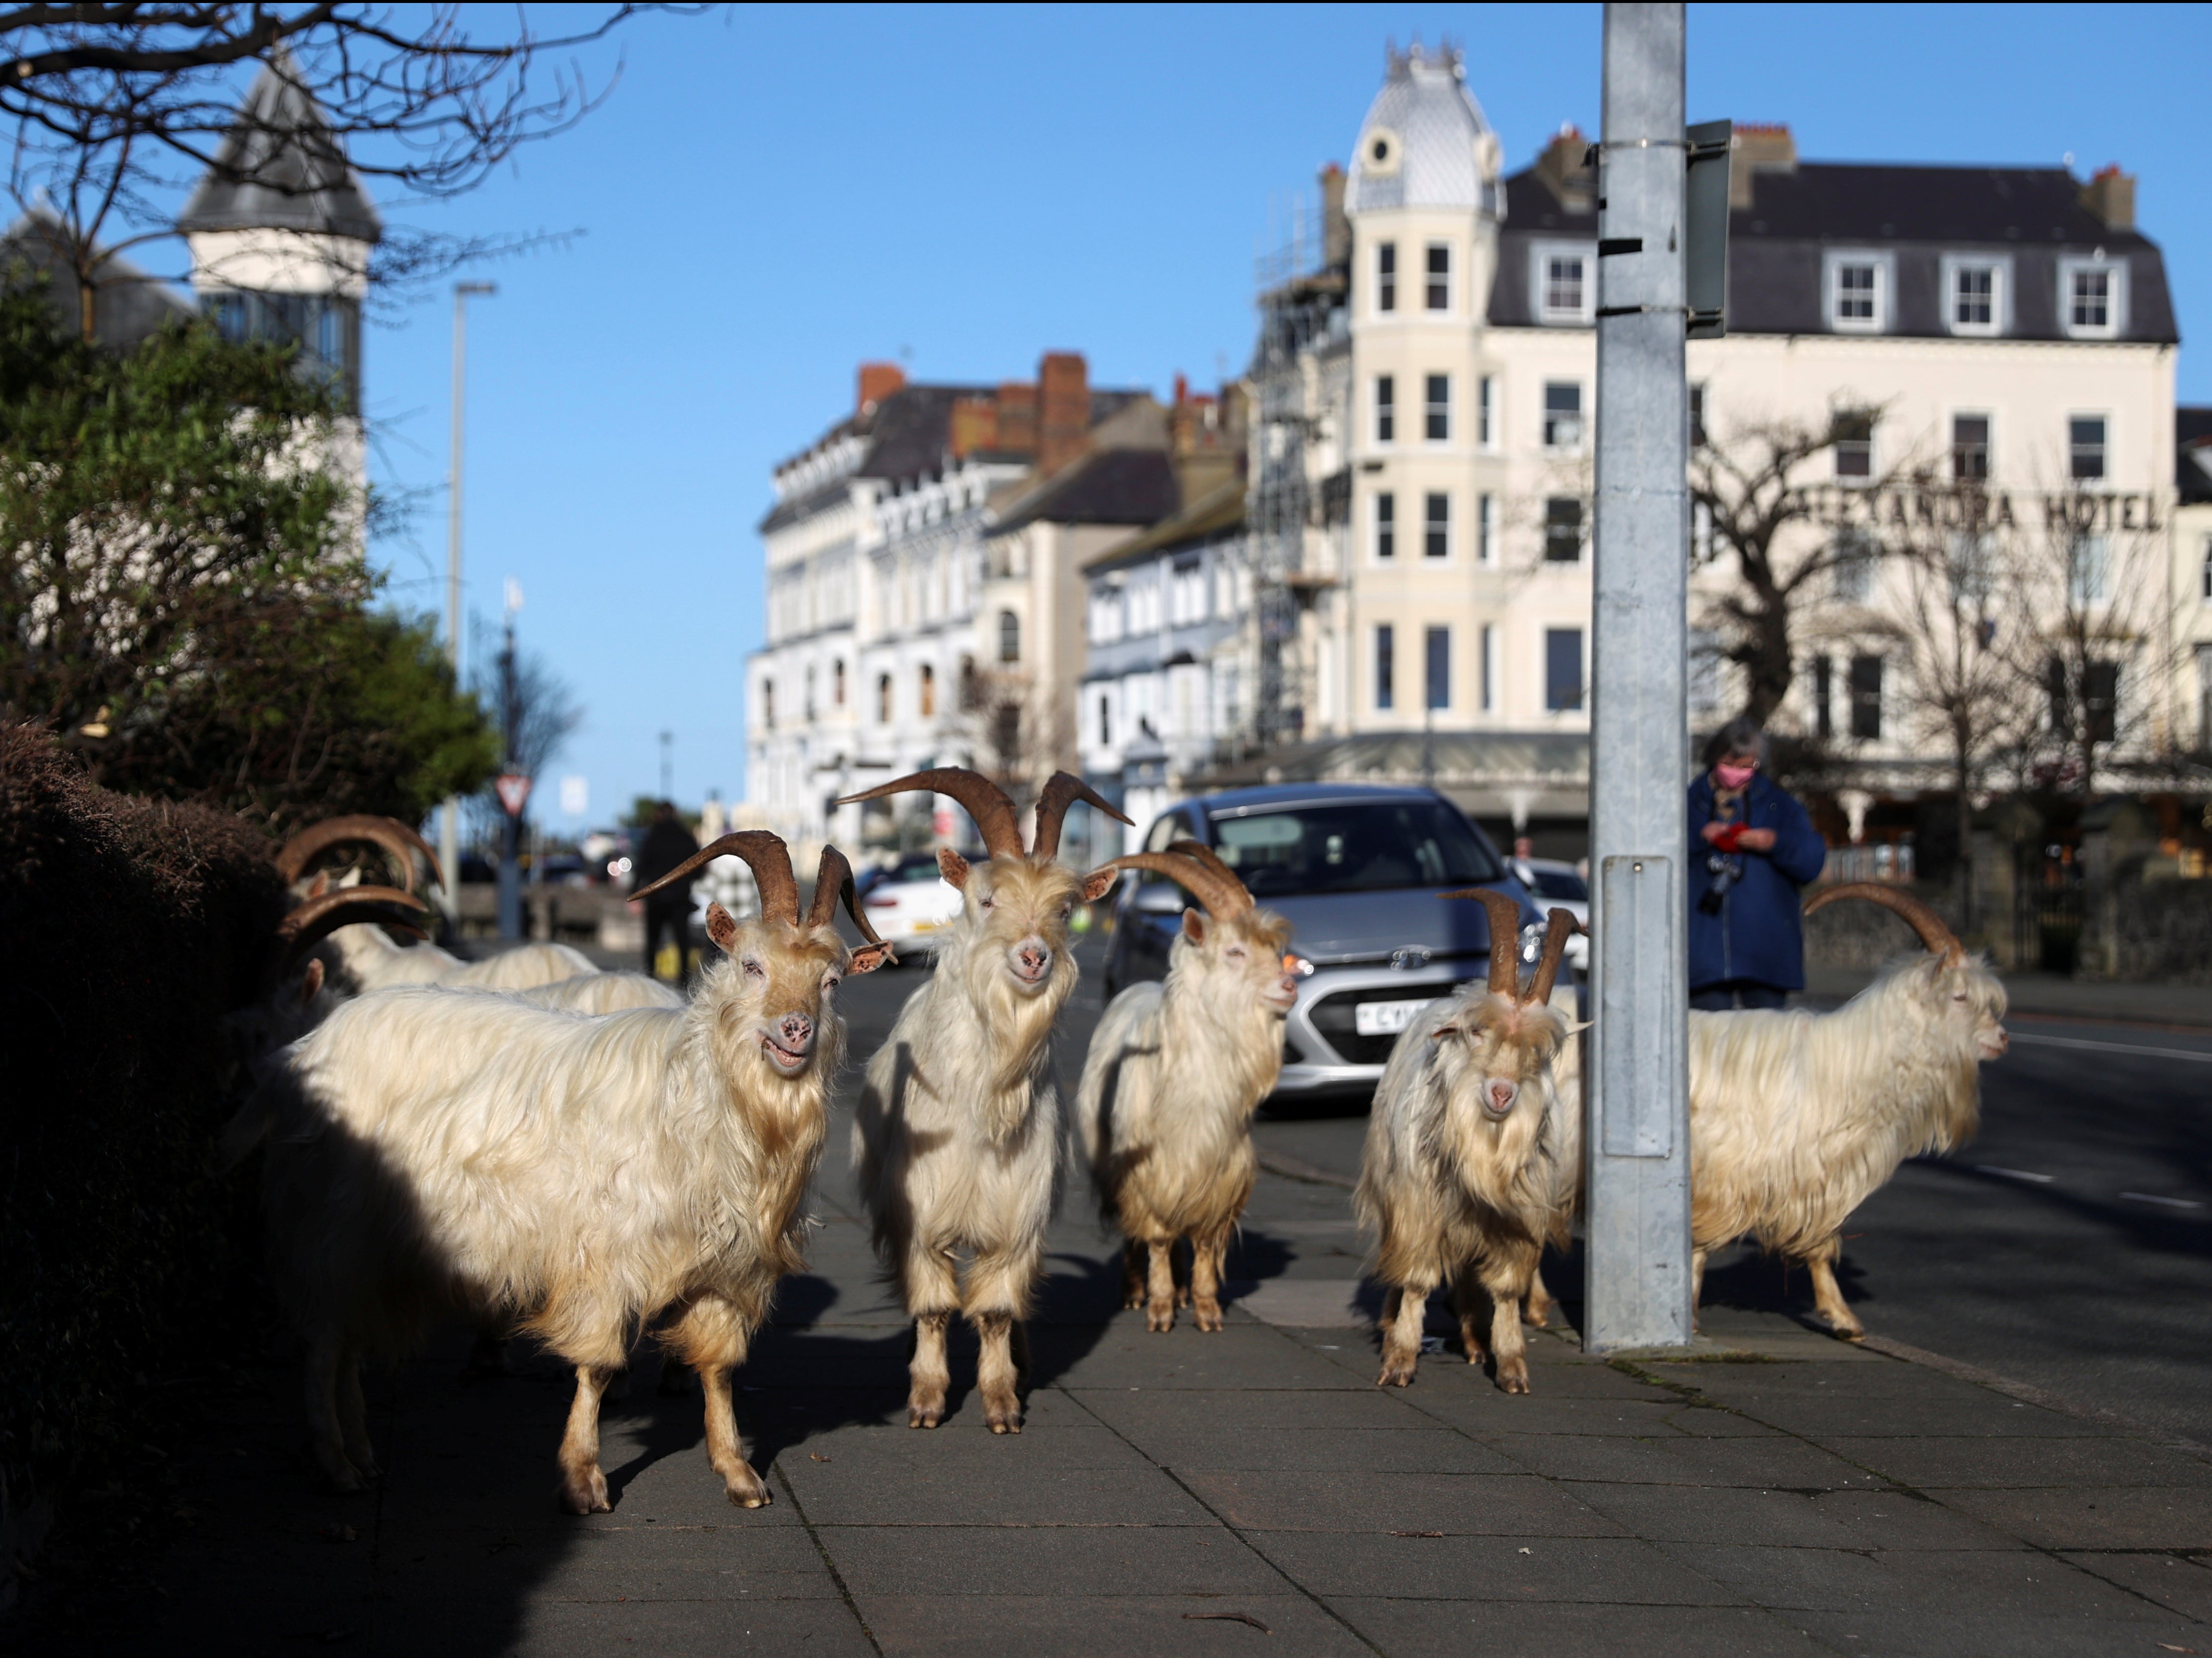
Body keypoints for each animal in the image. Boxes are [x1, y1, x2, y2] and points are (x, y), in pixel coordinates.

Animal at [247, 831, 890, 1512]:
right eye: (752, 965)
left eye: (831, 981)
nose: (796, 1030)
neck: (696, 1094)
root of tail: (303, 1051)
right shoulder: (604, 1256)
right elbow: (600, 1366)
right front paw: (583, 1478)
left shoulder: (726, 1264)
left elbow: (718, 1366)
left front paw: (738, 1472)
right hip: (336, 1226)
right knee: (325, 1345)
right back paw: (338, 1462)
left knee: (345, 1343)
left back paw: (363, 1455)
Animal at [837, 768, 1128, 1432]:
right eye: (987, 899)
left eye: (1065, 907)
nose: (1033, 956)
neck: (983, 1106)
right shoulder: (920, 1212)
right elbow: (934, 1307)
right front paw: (925, 1400)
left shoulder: (1015, 1214)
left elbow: (995, 1310)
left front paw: (1001, 1404)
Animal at [1072, 842, 1295, 1333]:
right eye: (1235, 951)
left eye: (1273, 950)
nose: (1289, 985)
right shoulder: (1146, 1168)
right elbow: (1156, 1235)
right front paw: (1159, 1310)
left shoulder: (1217, 1169)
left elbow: (1206, 1241)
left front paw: (1207, 1308)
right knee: (1136, 1232)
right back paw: (1136, 1292)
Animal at [1356, 893, 1581, 1394]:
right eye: (1478, 1032)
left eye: (1538, 1053)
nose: (1501, 1093)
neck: (1485, 1146)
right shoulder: (1420, 1207)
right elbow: (1418, 1279)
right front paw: (1400, 1360)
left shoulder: (1515, 1220)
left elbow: (1506, 1288)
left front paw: (1512, 1365)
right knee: (1400, 1265)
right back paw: (1390, 1323)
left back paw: (1476, 1341)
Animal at [1685, 883, 2007, 1340]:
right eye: (1960, 997)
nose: (2002, 1039)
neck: (1851, 1061)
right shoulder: (1728, 1174)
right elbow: (1702, 1241)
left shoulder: (1808, 1176)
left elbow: (1819, 1244)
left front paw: (1842, 1318)